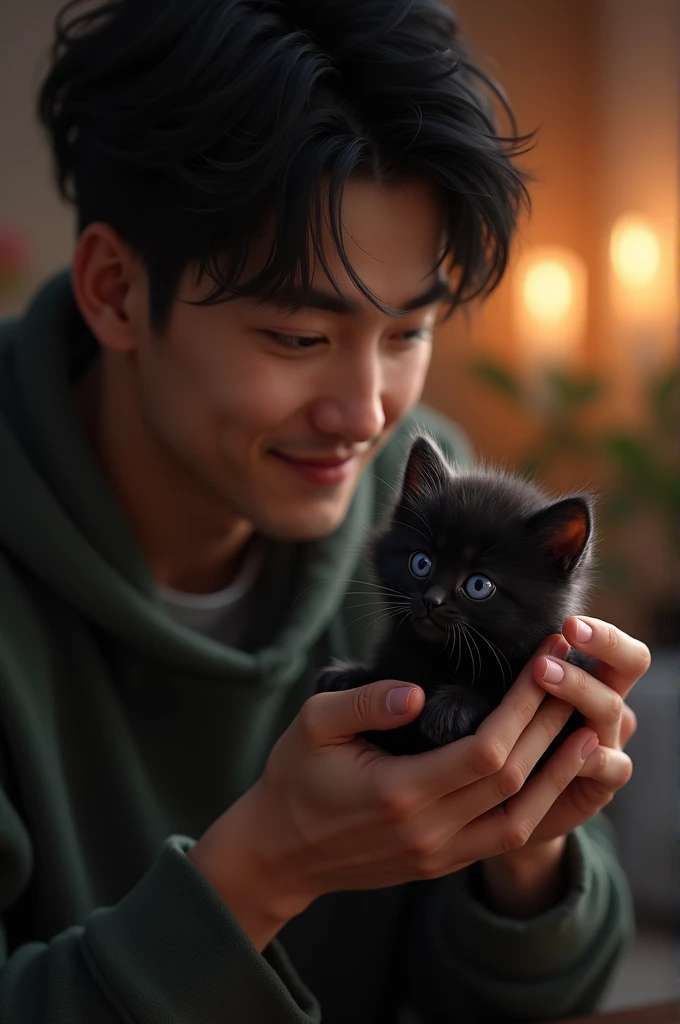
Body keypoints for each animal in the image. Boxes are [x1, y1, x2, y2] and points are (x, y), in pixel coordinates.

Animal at [313, 430, 593, 761]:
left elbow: (497, 690)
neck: (441, 658)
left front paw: (454, 706)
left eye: (479, 585)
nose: (431, 600)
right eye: (421, 563)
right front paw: (349, 676)